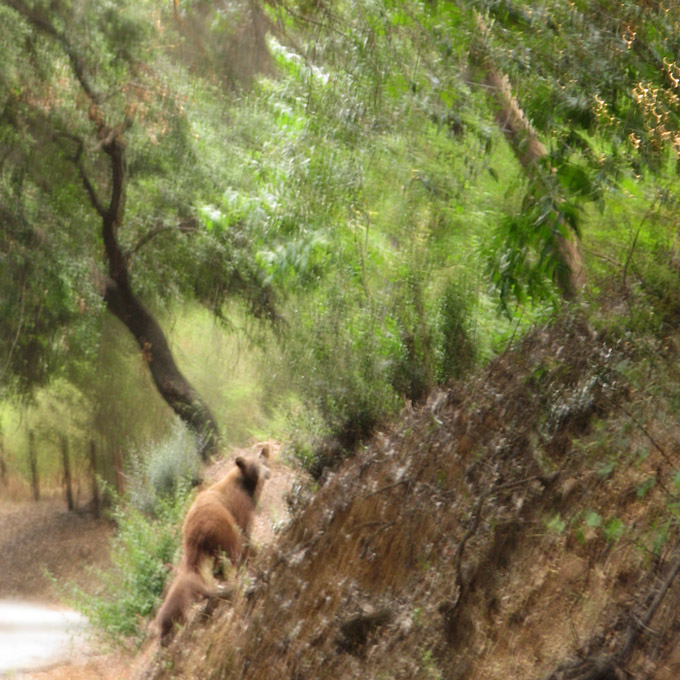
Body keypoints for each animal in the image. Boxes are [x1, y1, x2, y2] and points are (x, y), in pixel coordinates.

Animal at [155, 448, 270, 644]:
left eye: (262, 460)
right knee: (233, 548)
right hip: (219, 526)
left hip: (205, 545)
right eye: (256, 464)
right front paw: (254, 550)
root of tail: (193, 532)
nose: (267, 472)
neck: (244, 483)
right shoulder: (239, 504)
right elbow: (245, 529)